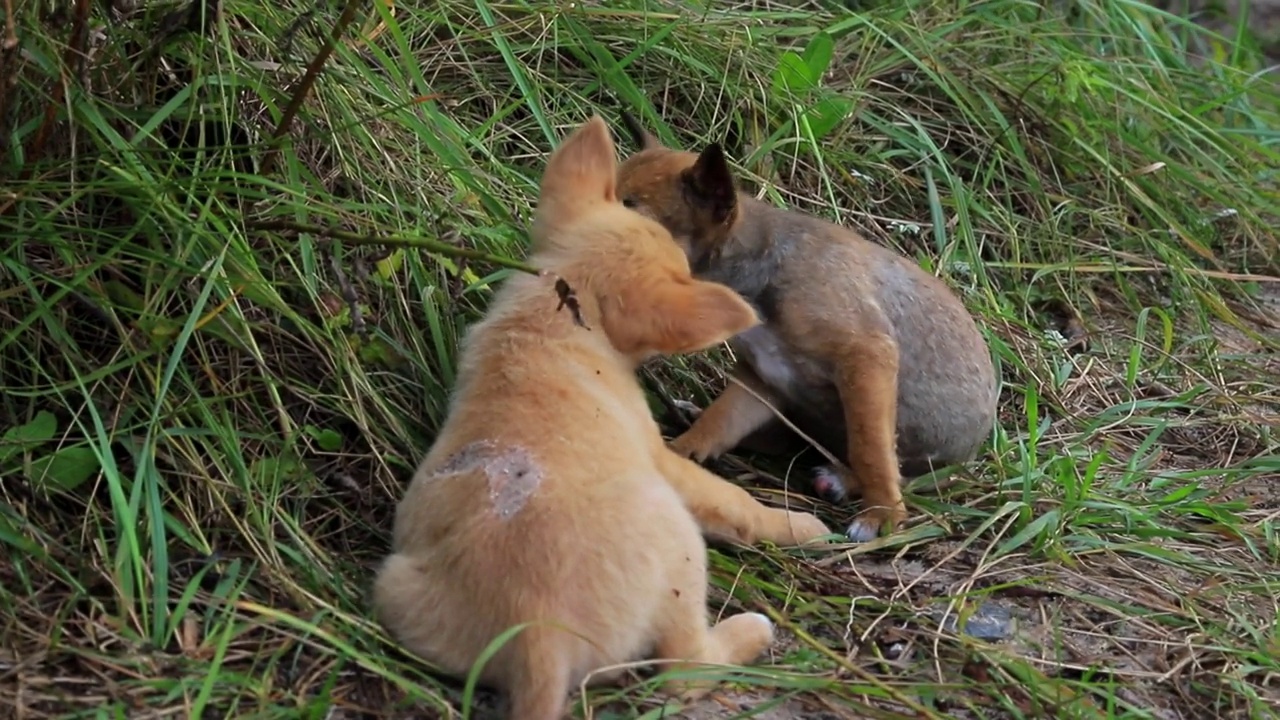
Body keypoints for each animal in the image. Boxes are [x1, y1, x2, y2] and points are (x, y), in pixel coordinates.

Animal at [371, 113, 829, 717]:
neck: (549, 323)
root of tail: (537, 635)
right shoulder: (662, 458)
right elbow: (737, 503)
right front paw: (802, 526)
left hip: (394, 589)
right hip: (679, 544)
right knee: (684, 668)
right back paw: (748, 631)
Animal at [611, 112, 998, 538]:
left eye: (630, 209)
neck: (761, 268)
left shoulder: (867, 356)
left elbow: (871, 448)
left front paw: (882, 515)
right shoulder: (764, 379)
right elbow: (719, 423)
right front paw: (679, 456)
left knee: (900, 470)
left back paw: (844, 479)